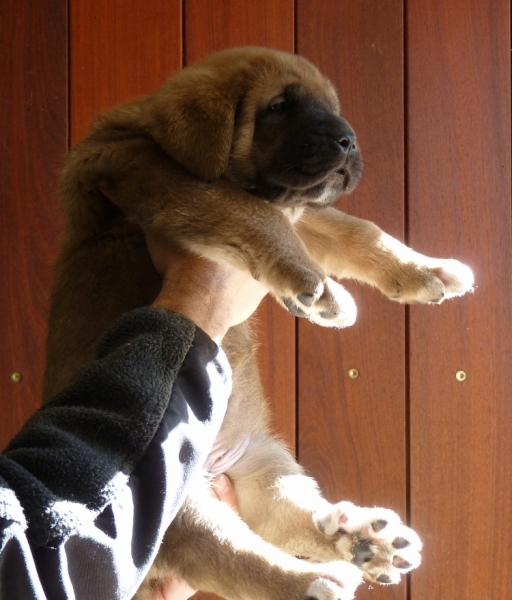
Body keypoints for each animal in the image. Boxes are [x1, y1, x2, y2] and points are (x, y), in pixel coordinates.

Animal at [46, 48, 474, 600]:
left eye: (329, 108)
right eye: (278, 107)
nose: (350, 140)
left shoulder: (302, 210)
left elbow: (357, 230)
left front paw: (424, 271)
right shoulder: (155, 173)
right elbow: (251, 213)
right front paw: (320, 289)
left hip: (265, 465)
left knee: (293, 520)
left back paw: (365, 540)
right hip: (166, 500)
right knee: (232, 556)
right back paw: (312, 580)